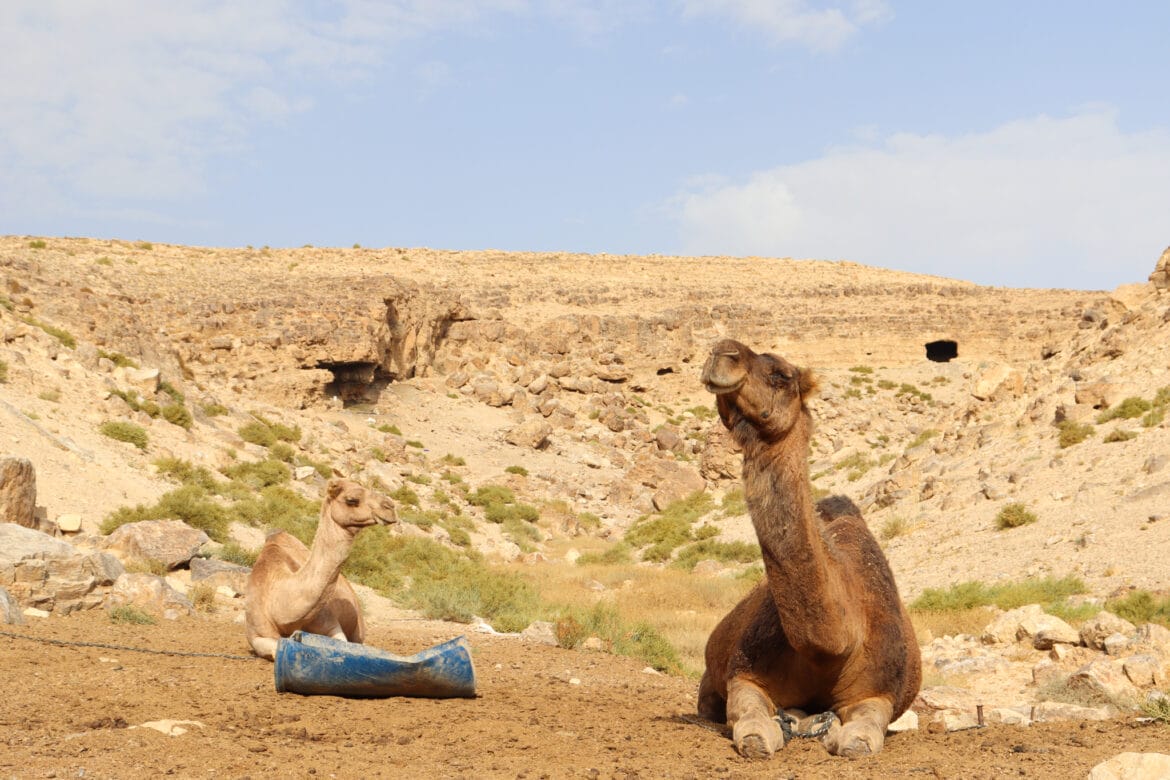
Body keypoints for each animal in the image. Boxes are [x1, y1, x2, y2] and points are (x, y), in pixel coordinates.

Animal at [243, 479, 397, 664]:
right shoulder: (256, 635)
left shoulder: (330, 623)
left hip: (359, 627)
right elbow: (274, 648)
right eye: (351, 500)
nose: (390, 507)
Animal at [692, 339, 921, 757]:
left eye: (781, 374)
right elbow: (752, 728)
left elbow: (859, 740)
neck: (832, 648)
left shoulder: (878, 691)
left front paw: (833, 732)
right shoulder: (744, 675)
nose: (723, 351)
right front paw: (772, 731)